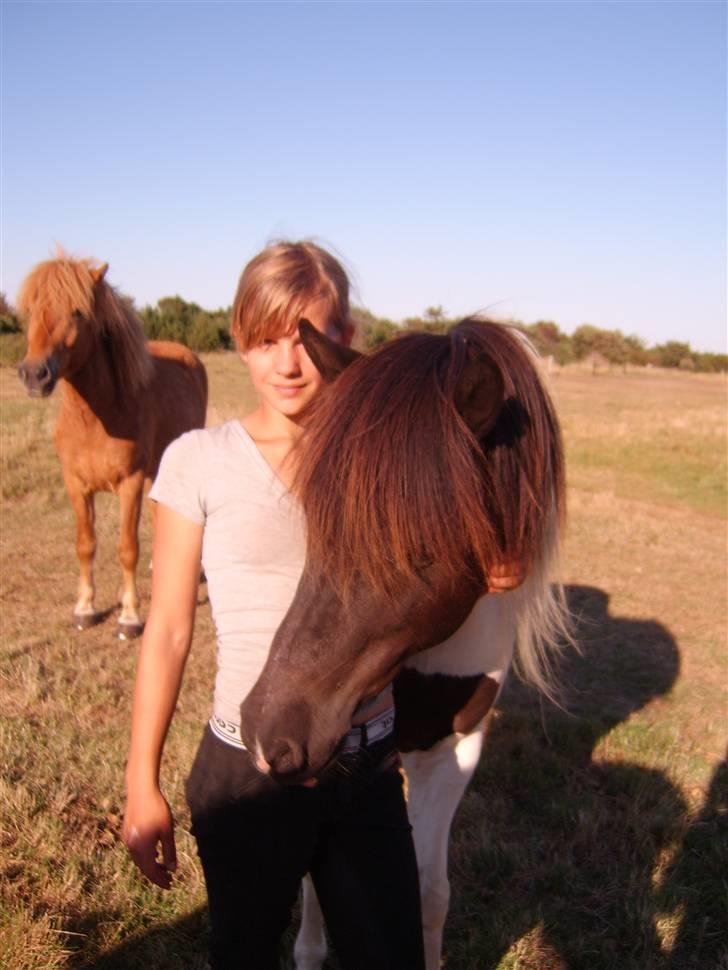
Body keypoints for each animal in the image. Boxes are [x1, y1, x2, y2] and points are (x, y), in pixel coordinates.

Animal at [16, 253, 208, 640]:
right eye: (30, 310)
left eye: (77, 312)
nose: (34, 375)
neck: (96, 418)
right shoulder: (75, 483)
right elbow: (85, 544)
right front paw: (85, 608)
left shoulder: (129, 482)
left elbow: (127, 548)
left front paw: (130, 617)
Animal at [242, 318, 572, 968]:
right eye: (314, 517)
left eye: (421, 548)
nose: (269, 732)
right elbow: (317, 875)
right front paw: (310, 952)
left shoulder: (455, 751)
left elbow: (427, 891)